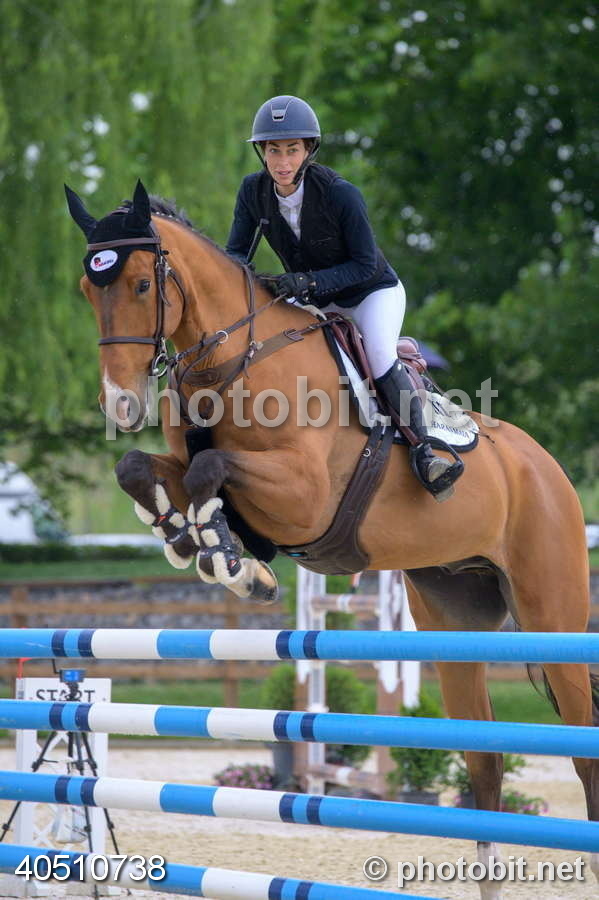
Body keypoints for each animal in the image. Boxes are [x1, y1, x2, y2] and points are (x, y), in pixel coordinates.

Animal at [66, 180, 597, 898]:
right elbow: (144, 469)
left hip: (551, 614)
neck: (233, 359)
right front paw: (192, 539)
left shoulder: (305, 495)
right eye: (86, 289)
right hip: (455, 626)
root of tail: (547, 469)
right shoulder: (200, 468)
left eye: (144, 284)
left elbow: (211, 470)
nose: (120, 404)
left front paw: (232, 560)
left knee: (582, 751)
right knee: (483, 765)